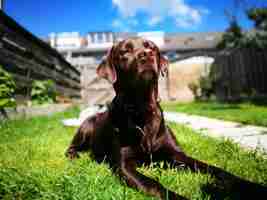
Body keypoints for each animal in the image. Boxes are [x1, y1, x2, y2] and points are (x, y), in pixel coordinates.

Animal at [66, 37, 267, 198]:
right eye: (125, 51)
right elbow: (154, 184)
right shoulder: (123, 166)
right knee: (71, 148)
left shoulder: (175, 154)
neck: (143, 110)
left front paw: (250, 185)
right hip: (86, 126)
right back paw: (76, 156)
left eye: (152, 47)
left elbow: (214, 169)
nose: (146, 55)